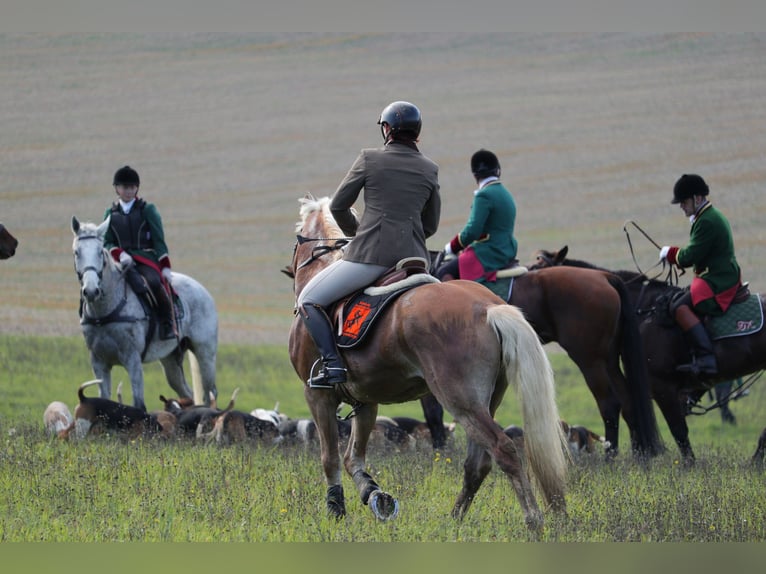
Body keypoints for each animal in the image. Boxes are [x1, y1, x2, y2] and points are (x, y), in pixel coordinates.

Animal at [71, 217, 219, 414]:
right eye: (77, 252)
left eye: (99, 252)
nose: (91, 291)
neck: (105, 311)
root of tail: (202, 289)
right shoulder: (98, 362)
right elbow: (104, 399)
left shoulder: (132, 360)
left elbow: (139, 403)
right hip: (171, 360)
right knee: (186, 394)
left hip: (205, 354)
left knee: (210, 394)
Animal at [284, 195, 568, 536]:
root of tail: (489, 307)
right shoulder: (366, 400)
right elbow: (354, 458)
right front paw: (375, 496)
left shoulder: (317, 395)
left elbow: (331, 458)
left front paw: (336, 510)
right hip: (483, 402)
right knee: (478, 463)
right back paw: (454, 520)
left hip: (460, 400)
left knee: (505, 451)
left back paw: (533, 521)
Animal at [532, 245, 766, 466]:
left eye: (536, 268)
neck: (642, 310)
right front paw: (641, 457)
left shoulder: (661, 385)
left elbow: (678, 429)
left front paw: (687, 466)